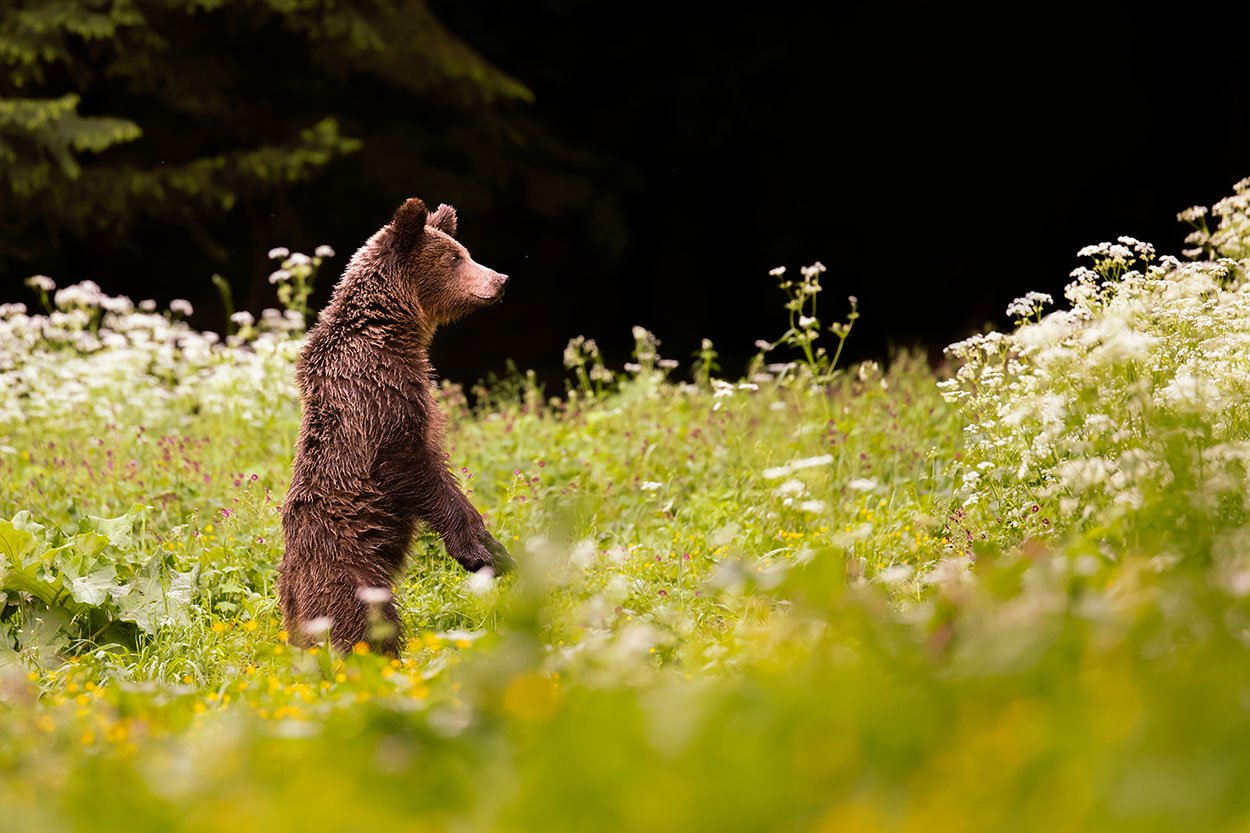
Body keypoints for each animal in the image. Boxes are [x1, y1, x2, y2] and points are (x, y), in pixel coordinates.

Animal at [278, 197, 512, 650]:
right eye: (456, 258)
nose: (501, 279)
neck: (392, 332)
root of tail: (290, 592)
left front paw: (497, 549)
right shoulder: (378, 395)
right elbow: (409, 463)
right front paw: (476, 549)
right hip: (347, 564)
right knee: (362, 624)